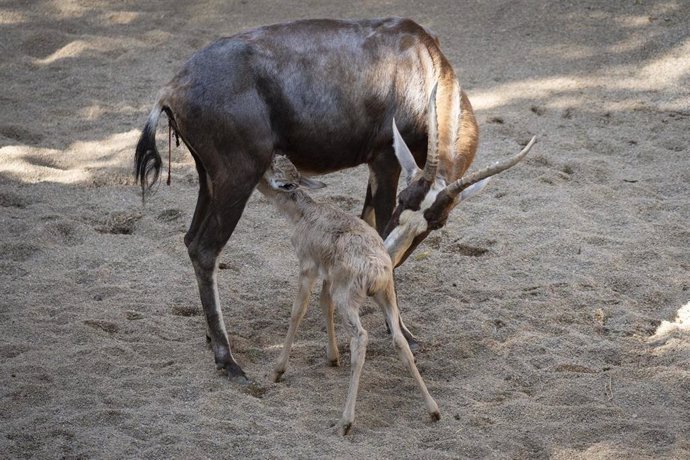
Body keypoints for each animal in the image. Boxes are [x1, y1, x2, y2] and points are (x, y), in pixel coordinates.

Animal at [133, 17, 532, 380]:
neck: (419, 56)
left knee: (190, 240)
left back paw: (211, 338)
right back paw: (227, 359)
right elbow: (378, 234)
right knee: (205, 248)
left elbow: (369, 225)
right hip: (237, 179)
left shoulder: (379, 169)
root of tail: (172, 89)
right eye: (403, 201)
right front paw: (403, 333)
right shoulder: (386, 161)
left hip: (209, 179)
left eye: (435, 223)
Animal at [255, 155, 438, 434]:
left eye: (273, 166)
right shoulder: (329, 275)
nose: (263, 162)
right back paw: (434, 409)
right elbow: (324, 303)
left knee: (361, 338)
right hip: (385, 295)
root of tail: (376, 270)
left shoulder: (307, 266)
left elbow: (298, 310)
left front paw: (277, 370)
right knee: (399, 339)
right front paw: (332, 357)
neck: (302, 214)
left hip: (349, 298)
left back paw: (345, 421)